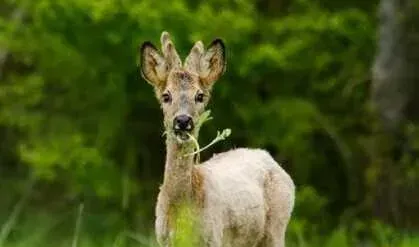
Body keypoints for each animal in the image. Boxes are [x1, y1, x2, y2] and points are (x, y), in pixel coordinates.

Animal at [140, 31, 296, 247]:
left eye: (199, 96)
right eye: (166, 96)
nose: (183, 121)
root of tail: (268, 157)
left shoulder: (214, 236)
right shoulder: (162, 239)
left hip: (278, 223)